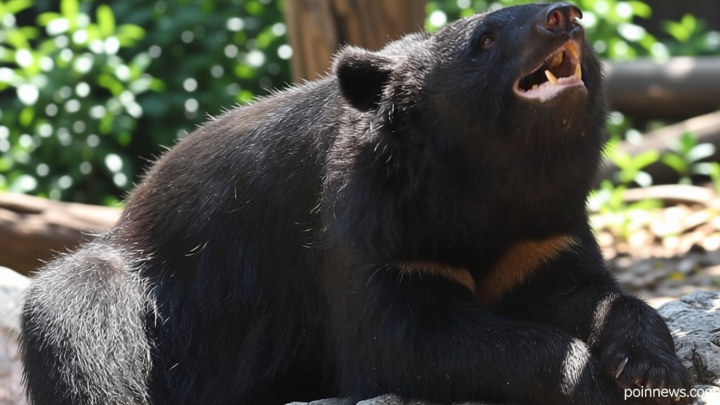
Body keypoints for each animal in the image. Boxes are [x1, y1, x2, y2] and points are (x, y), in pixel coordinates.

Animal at [19, 2, 692, 405]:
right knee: (78, 326)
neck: (485, 185)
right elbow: (405, 340)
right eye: (485, 38)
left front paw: (652, 367)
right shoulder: (372, 228)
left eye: (571, 19)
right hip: (137, 285)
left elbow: (583, 292)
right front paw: (586, 379)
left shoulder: (542, 229)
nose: (564, 15)